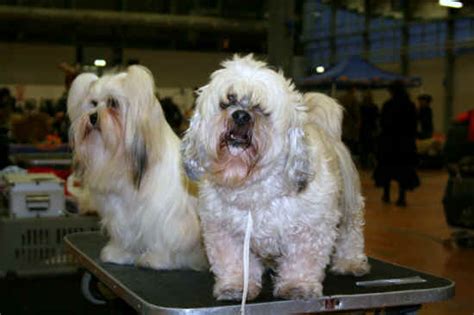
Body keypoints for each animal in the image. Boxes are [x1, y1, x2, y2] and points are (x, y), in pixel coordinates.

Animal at [67, 65, 207, 272]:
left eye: (113, 103)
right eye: (93, 103)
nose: (92, 117)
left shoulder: (166, 215)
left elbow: (164, 238)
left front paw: (156, 259)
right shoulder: (121, 214)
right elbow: (125, 235)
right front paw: (120, 254)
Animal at [181, 55, 370, 302]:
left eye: (261, 108)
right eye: (228, 100)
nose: (241, 115)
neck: (252, 187)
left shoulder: (310, 228)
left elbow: (302, 261)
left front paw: (297, 286)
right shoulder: (225, 232)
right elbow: (233, 262)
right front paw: (235, 286)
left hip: (349, 206)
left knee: (351, 235)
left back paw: (350, 263)